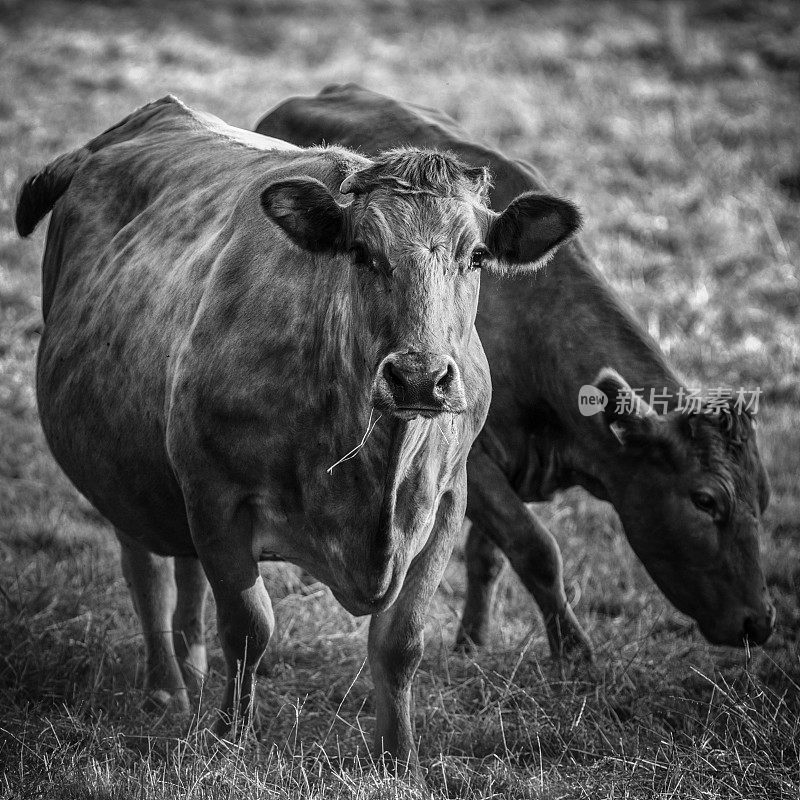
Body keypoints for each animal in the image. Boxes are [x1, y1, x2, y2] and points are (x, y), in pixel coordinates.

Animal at [17, 97, 580, 772]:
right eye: (362, 251)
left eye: (474, 257)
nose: (419, 375)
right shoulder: (216, 495)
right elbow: (249, 627)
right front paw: (229, 740)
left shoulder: (448, 500)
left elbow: (402, 642)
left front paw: (400, 761)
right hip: (123, 469)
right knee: (146, 569)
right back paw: (167, 691)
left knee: (182, 570)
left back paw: (192, 669)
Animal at [256, 81, 776, 656]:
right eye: (705, 500)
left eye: (765, 499)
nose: (760, 623)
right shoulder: (474, 462)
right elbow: (535, 547)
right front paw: (574, 652)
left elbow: (490, 557)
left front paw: (472, 641)